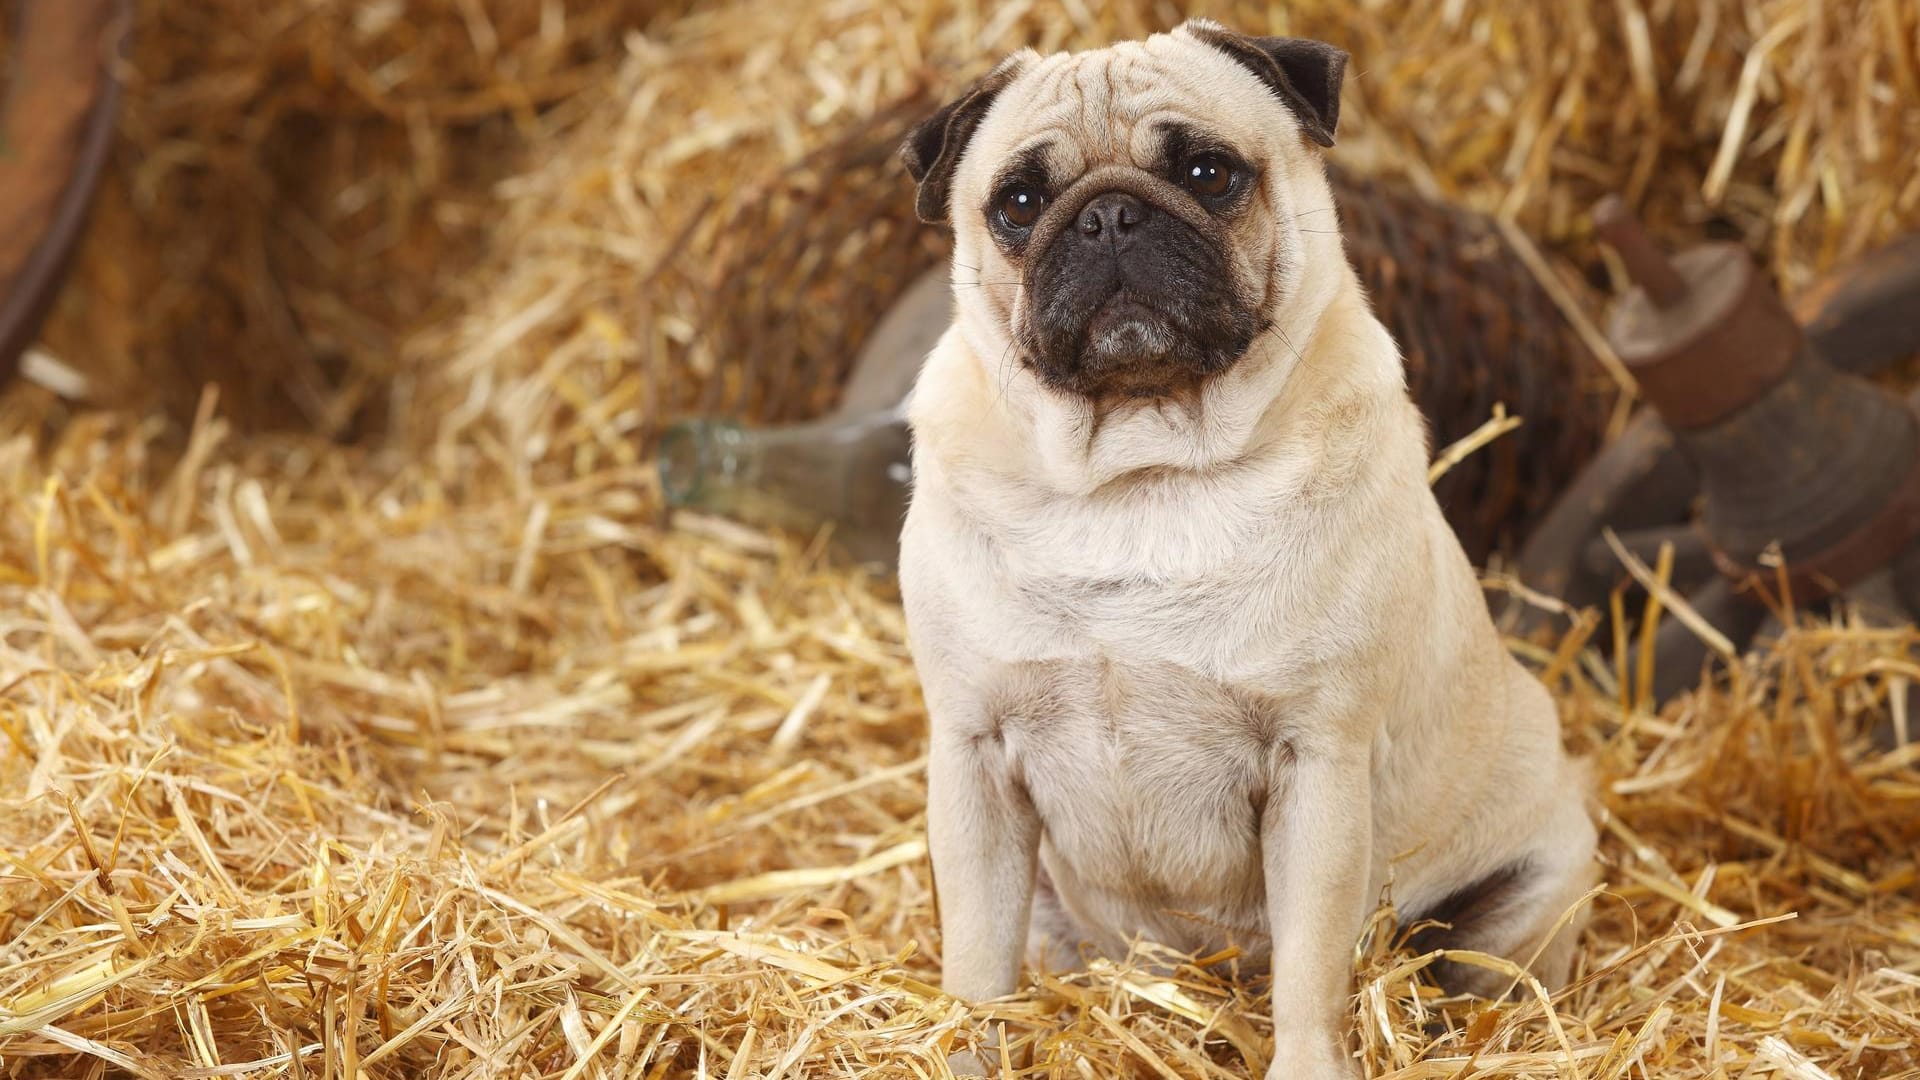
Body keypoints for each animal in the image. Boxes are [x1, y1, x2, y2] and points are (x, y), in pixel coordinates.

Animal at [898, 18, 1605, 1076]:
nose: (1108, 216)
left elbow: (1311, 968)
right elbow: (977, 959)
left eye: (1209, 171)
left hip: (1537, 877)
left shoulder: (1316, 766)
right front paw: (968, 1050)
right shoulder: (973, 757)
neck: (1138, 477)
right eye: (1018, 204)